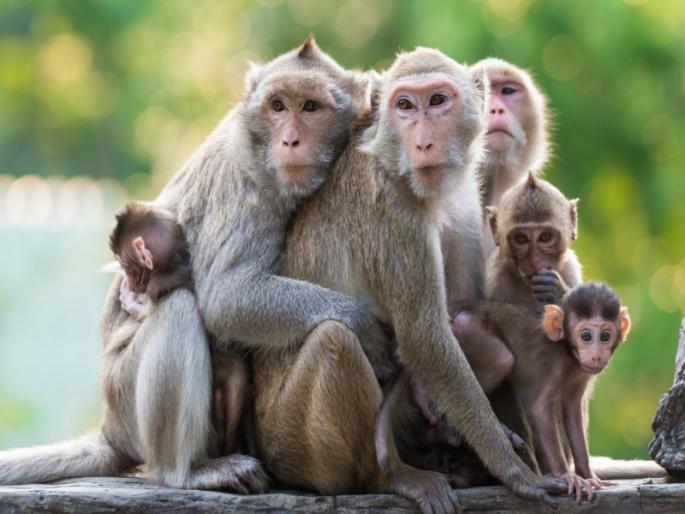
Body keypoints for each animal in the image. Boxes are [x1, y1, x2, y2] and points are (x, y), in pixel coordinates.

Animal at [0, 37, 390, 492]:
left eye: (310, 107)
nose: (291, 140)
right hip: (125, 397)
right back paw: (184, 472)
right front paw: (364, 327)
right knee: (180, 310)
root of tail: (110, 428)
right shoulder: (245, 187)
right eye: (277, 106)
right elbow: (226, 298)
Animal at [252, 47, 566, 514]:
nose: (422, 142)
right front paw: (516, 472)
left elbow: (465, 313)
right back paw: (390, 476)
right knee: (335, 341)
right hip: (287, 444)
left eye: (437, 100)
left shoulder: (466, 200)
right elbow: (425, 338)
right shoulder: (391, 211)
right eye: (404, 105)